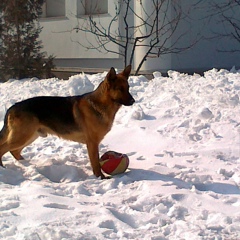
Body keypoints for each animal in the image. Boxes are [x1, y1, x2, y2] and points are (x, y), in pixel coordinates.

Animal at [0, 65, 135, 178]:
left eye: (128, 88)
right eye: (120, 89)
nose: (133, 101)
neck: (100, 105)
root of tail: (12, 107)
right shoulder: (92, 143)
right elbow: (96, 163)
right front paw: (100, 178)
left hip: (30, 136)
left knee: (14, 151)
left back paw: (27, 164)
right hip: (22, 136)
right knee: (4, 148)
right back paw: (3, 168)